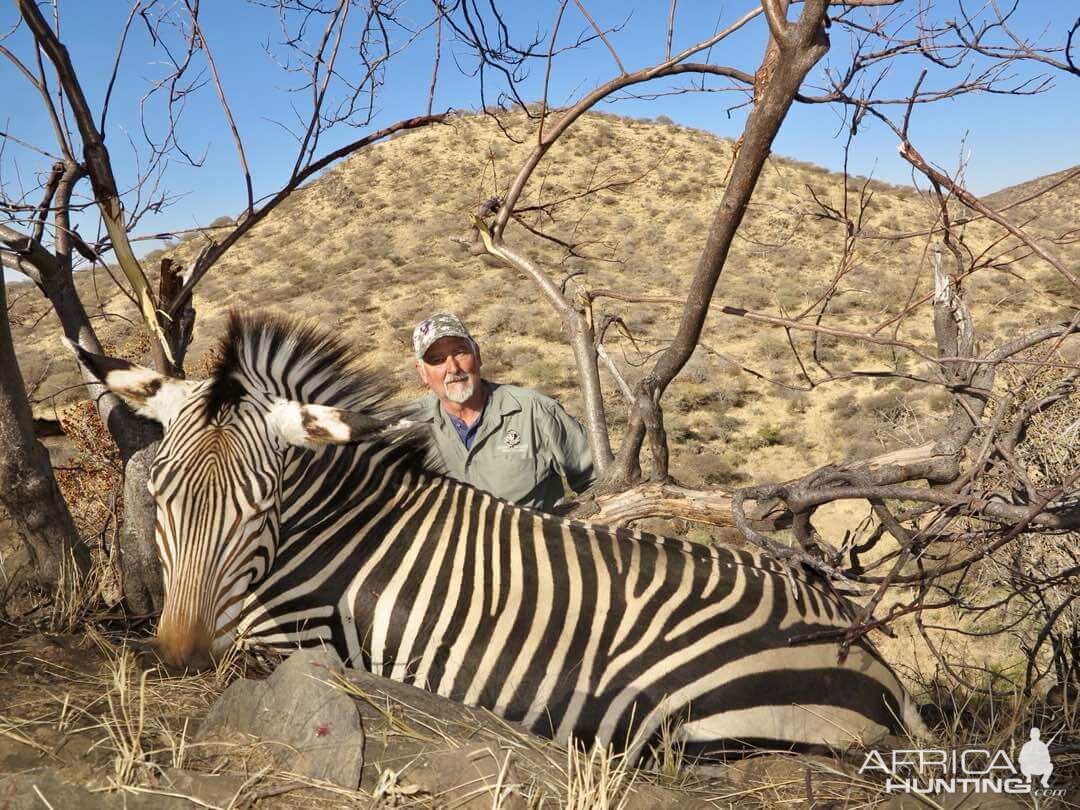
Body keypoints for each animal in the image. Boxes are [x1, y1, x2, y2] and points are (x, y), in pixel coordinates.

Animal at [71, 313, 924, 760]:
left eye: (262, 505)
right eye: (160, 495)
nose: (181, 656)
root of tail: (873, 655)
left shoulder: (295, 644)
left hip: (699, 723)